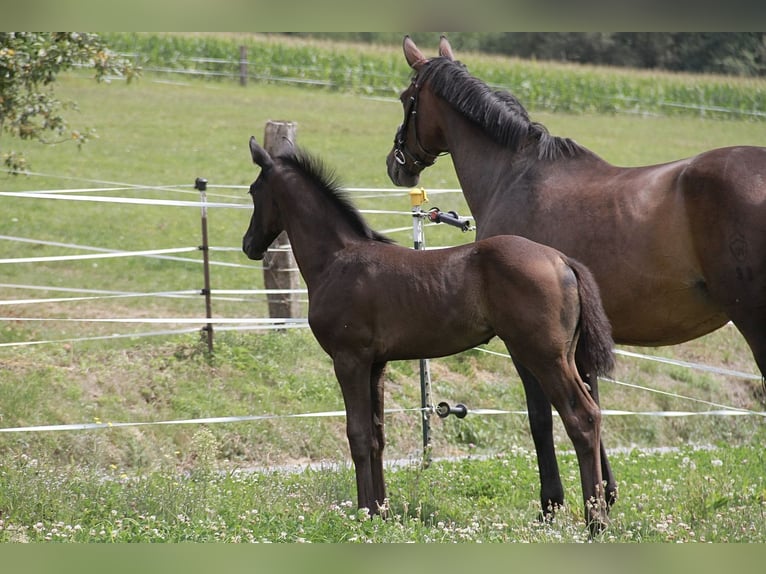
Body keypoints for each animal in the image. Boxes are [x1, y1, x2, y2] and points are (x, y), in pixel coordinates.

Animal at [242, 135, 615, 533]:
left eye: (253, 190)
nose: (249, 245)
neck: (336, 260)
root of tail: (562, 260)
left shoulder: (349, 360)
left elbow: (357, 434)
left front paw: (363, 512)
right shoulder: (376, 365)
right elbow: (377, 436)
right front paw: (381, 510)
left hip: (545, 356)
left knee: (582, 418)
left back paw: (596, 521)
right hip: (564, 355)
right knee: (591, 414)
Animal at [386, 35, 766, 515]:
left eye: (406, 98)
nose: (396, 164)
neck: (514, 175)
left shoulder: (526, 343)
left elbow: (541, 418)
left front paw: (553, 502)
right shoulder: (581, 342)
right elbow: (592, 403)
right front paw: (605, 494)